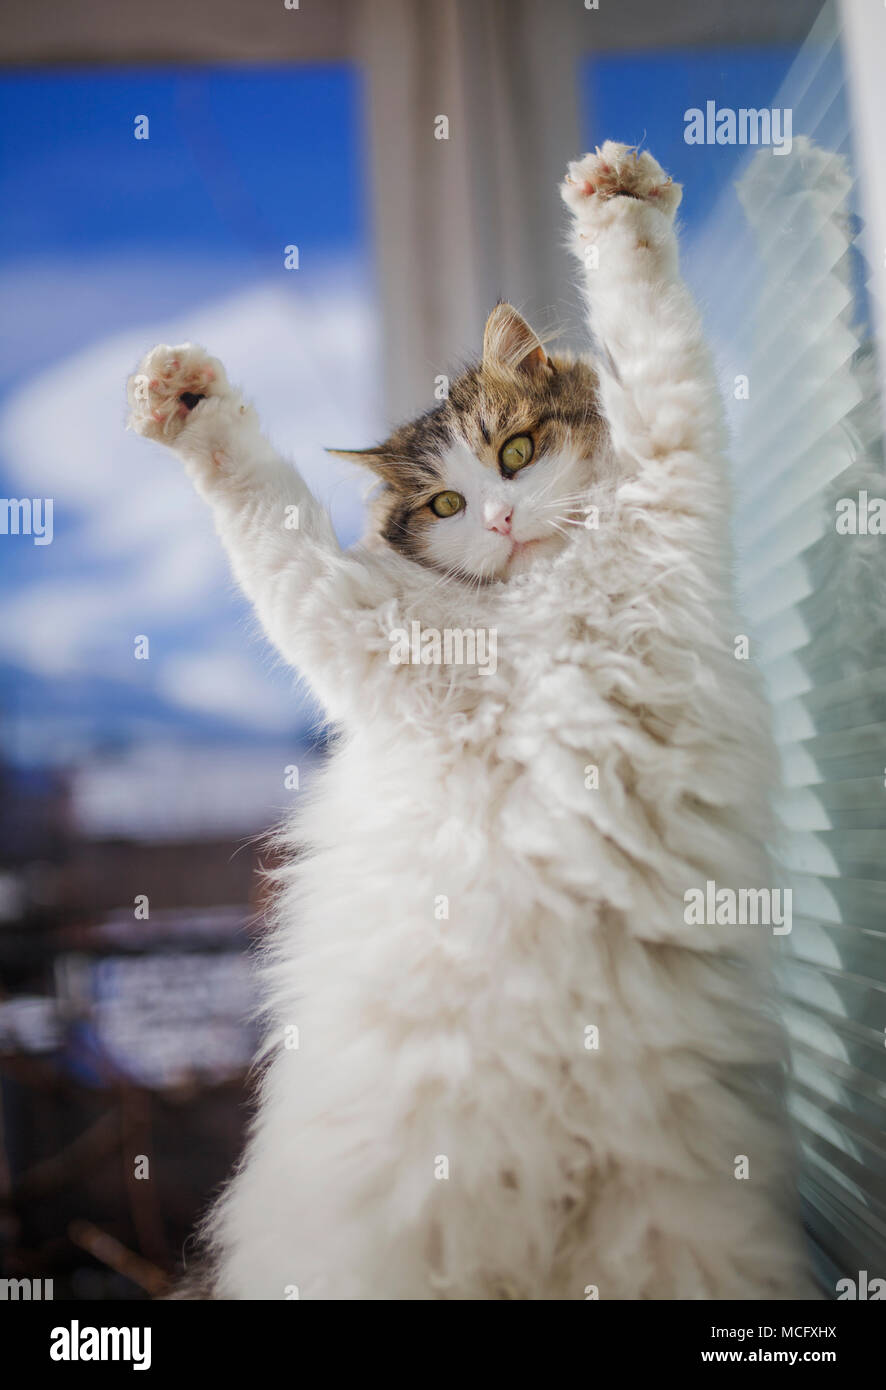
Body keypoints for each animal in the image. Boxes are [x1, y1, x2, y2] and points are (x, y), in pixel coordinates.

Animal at [125, 146, 817, 1295]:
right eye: (444, 507)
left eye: (518, 451)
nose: (497, 520)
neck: (534, 609)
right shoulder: (352, 625)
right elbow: (264, 508)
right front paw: (188, 398)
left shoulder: (673, 461)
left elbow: (646, 316)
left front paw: (617, 199)